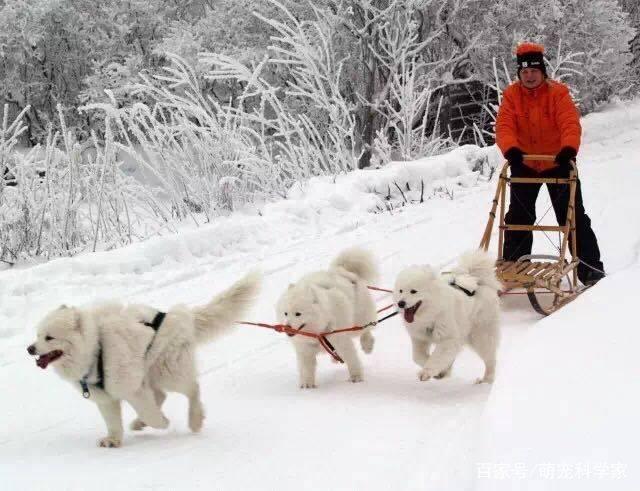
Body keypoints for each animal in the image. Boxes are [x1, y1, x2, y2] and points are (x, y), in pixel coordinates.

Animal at [25, 272, 260, 450]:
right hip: (151, 370)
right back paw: (139, 423)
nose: (29, 349)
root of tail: (180, 315)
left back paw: (194, 419)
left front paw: (162, 422)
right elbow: (113, 422)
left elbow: (150, 411)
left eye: (49, 337)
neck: (96, 348)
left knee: (192, 388)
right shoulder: (107, 397)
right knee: (162, 395)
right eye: (37, 335)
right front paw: (113, 440)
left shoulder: (131, 388)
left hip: (167, 370)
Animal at [276, 250, 380, 388]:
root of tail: (340, 270)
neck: (317, 332)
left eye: (298, 314)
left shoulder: (341, 339)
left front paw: (356, 377)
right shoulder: (305, 350)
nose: (286, 327)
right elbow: (307, 369)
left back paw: (367, 345)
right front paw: (307, 386)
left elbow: (352, 359)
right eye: (285, 313)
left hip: (357, 319)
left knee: (365, 329)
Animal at [392, 252, 502, 386]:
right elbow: (417, 357)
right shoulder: (420, 338)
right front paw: (440, 372)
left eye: (413, 291)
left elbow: (437, 357)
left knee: (490, 359)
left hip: (481, 336)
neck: (431, 314)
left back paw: (486, 380)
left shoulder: (448, 338)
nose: (401, 303)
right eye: (400, 291)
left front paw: (426, 372)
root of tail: (479, 282)